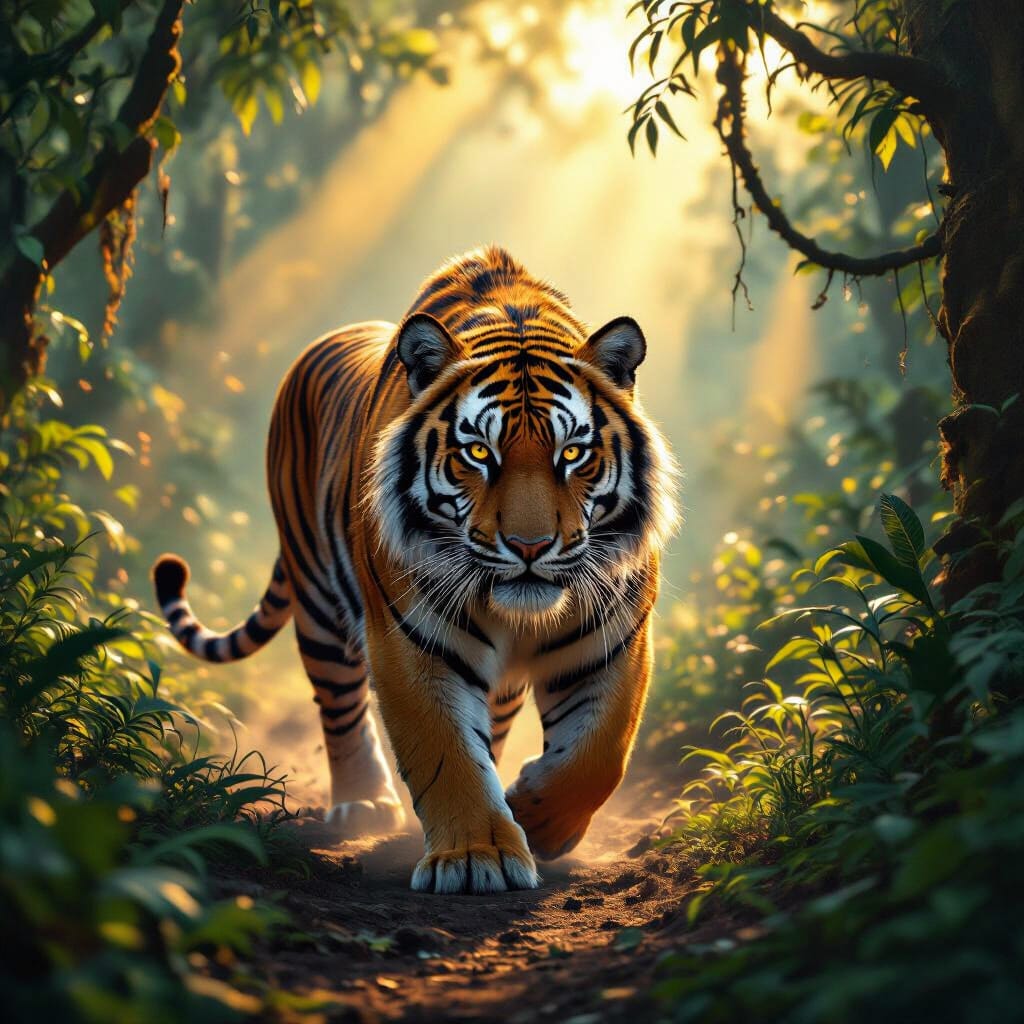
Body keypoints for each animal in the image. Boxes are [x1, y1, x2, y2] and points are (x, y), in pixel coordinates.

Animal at [153, 246, 679, 894]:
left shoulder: (615, 636)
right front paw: (478, 856)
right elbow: (446, 751)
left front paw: (536, 819)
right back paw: (363, 804)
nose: (530, 546)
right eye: (478, 453)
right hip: (320, 604)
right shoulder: (413, 638)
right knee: (340, 706)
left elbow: (599, 753)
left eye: (573, 453)